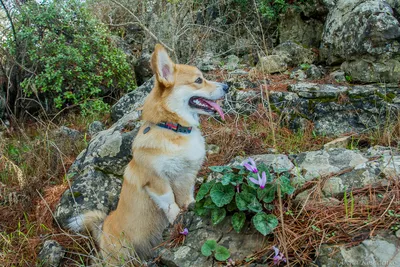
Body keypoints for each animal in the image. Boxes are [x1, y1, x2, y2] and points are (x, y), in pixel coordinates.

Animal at [69, 44, 228, 266]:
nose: (227, 86)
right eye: (198, 80)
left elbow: (187, 195)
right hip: (122, 253)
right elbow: (170, 203)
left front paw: (190, 207)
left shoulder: (188, 175)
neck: (174, 129)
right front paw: (178, 220)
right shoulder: (156, 181)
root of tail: (102, 232)